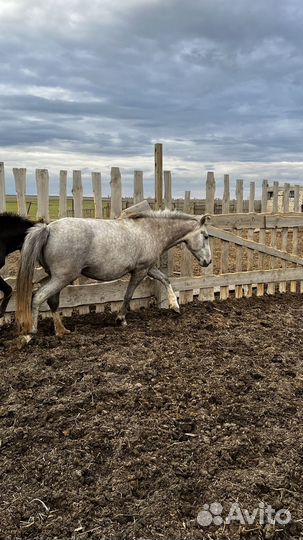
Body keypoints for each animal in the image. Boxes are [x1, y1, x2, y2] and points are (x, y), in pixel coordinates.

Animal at [16, 209, 211, 344]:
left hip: (55, 277)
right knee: (38, 297)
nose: (208, 261)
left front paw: (175, 306)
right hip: (62, 278)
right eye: (206, 236)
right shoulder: (140, 271)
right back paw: (29, 334)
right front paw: (120, 319)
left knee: (52, 301)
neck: (150, 231)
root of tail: (48, 228)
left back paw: (62, 331)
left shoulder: (148, 268)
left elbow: (165, 279)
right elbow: (128, 294)